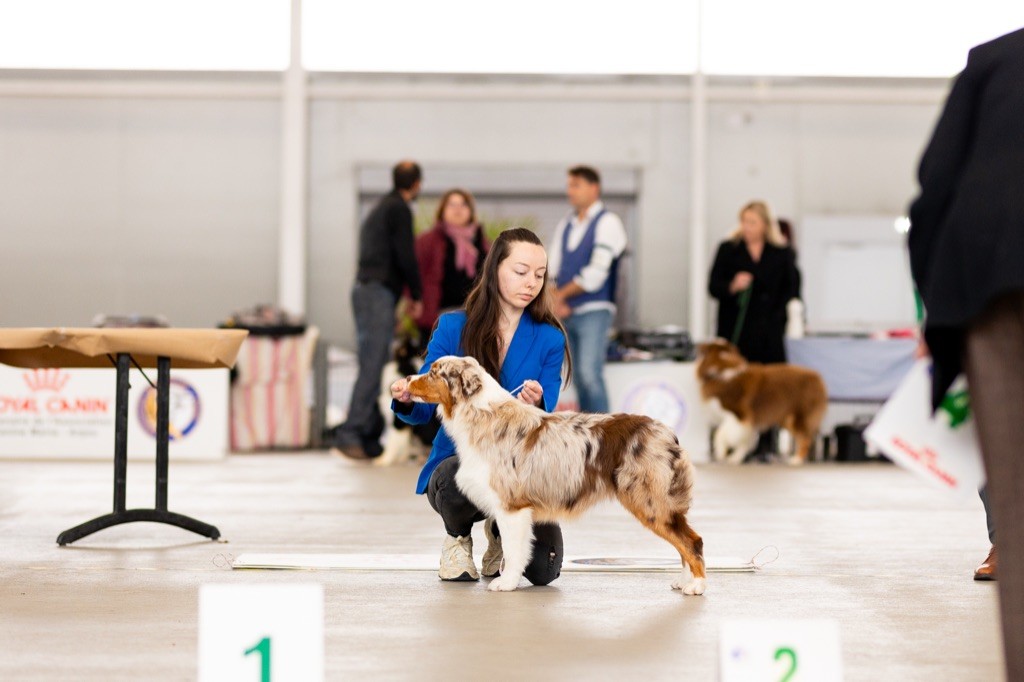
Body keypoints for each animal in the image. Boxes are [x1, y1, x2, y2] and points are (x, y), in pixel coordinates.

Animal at [403, 352, 708, 593]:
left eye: (434, 372)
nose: (406, 379)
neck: (482, 414)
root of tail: (667, 432)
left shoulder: (512, 506)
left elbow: (513, 549)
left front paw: (506, 583)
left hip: (650, 501)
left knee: (692, 541)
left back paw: (696, 586)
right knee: (684, 540)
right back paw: (684, 581)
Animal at [692, 337, 827, 464]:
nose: (697, 346)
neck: (724, 371)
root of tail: (818, 378)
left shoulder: (739, 415)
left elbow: (721, 434)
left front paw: (723, 453)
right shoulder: (749, 420)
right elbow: (745, 440)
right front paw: (736, 457)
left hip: (796, 417)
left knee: (806, 439)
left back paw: (796, 460)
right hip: (786, 417)